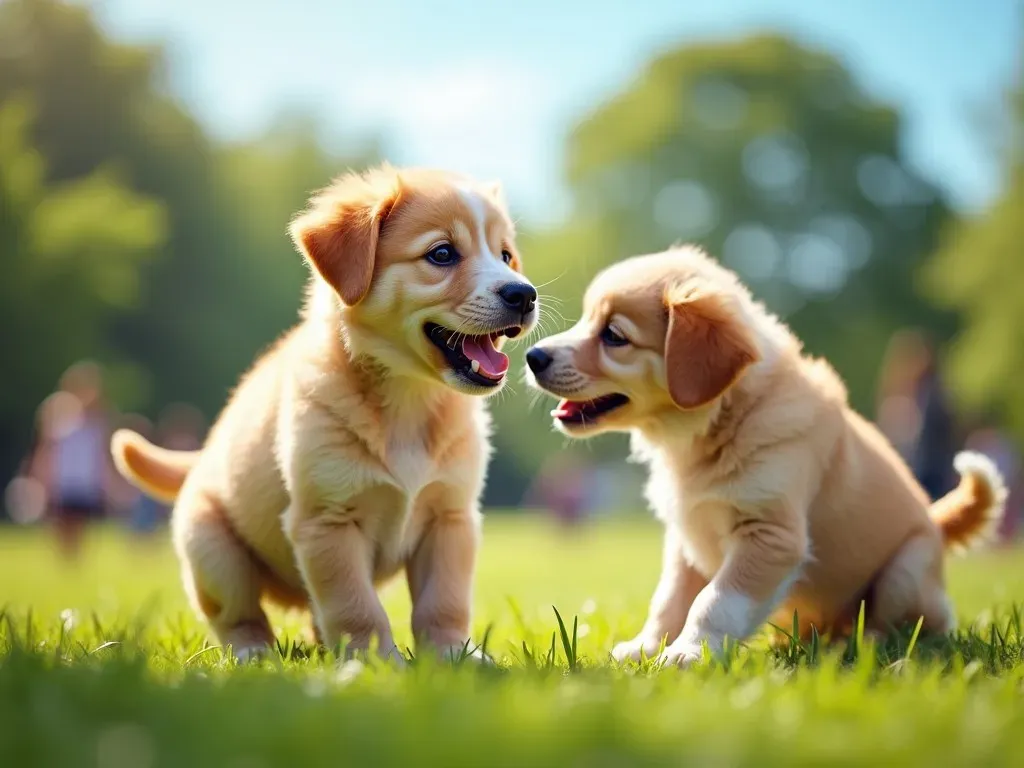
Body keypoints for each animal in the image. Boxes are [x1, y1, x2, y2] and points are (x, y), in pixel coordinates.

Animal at [109, 166, 540, 663]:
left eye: (506, 256)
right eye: (442, 253)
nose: (525, 294)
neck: (408, 398)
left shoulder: (450, 517)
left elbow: (443, 603)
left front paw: (453, 655)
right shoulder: (327, 521)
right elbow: (356, 607)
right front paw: (374, 663)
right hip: (213, 552)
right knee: (239, 617)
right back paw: (253, 654)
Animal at [528, 247, 1007, 667]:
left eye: (614, 335)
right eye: (587, 318)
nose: (533, 356)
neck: (708, 431)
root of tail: (936, 523)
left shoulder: (770, 534)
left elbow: (714, 600)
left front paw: (690, 653)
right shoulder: (686, 539)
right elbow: (670, 598)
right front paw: (646, 648)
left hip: (905, 572)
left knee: (922, 623)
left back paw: (868, 645)